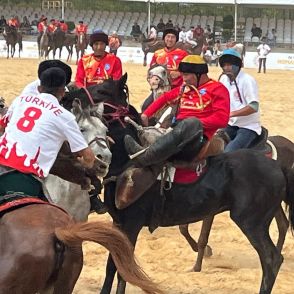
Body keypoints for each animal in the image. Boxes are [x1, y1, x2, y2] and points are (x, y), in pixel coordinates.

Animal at [60, 74, 294, 294]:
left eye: (101, 90)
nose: (67, 96)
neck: (126, 162)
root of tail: (277, 166)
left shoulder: (132, 224)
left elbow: (122, 269)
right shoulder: (119, 224)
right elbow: (112, 265)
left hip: (251, 222)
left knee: (271, 259)